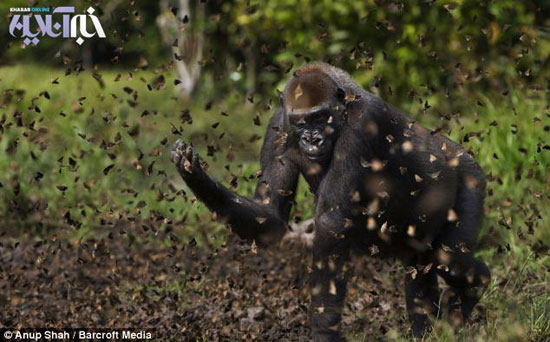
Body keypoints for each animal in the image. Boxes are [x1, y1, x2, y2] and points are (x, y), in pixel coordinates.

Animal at [171, 62, 492, 340]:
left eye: (319, 118)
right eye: (300, 122)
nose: (312, 139)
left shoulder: (363, 124)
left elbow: (331, 225)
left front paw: (324, 331)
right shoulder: (279, 125)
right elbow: (269, 214)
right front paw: (195, 176)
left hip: (471, 175)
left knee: (449, 260)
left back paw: (477, 285)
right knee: (420, 269)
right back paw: (427, 329)